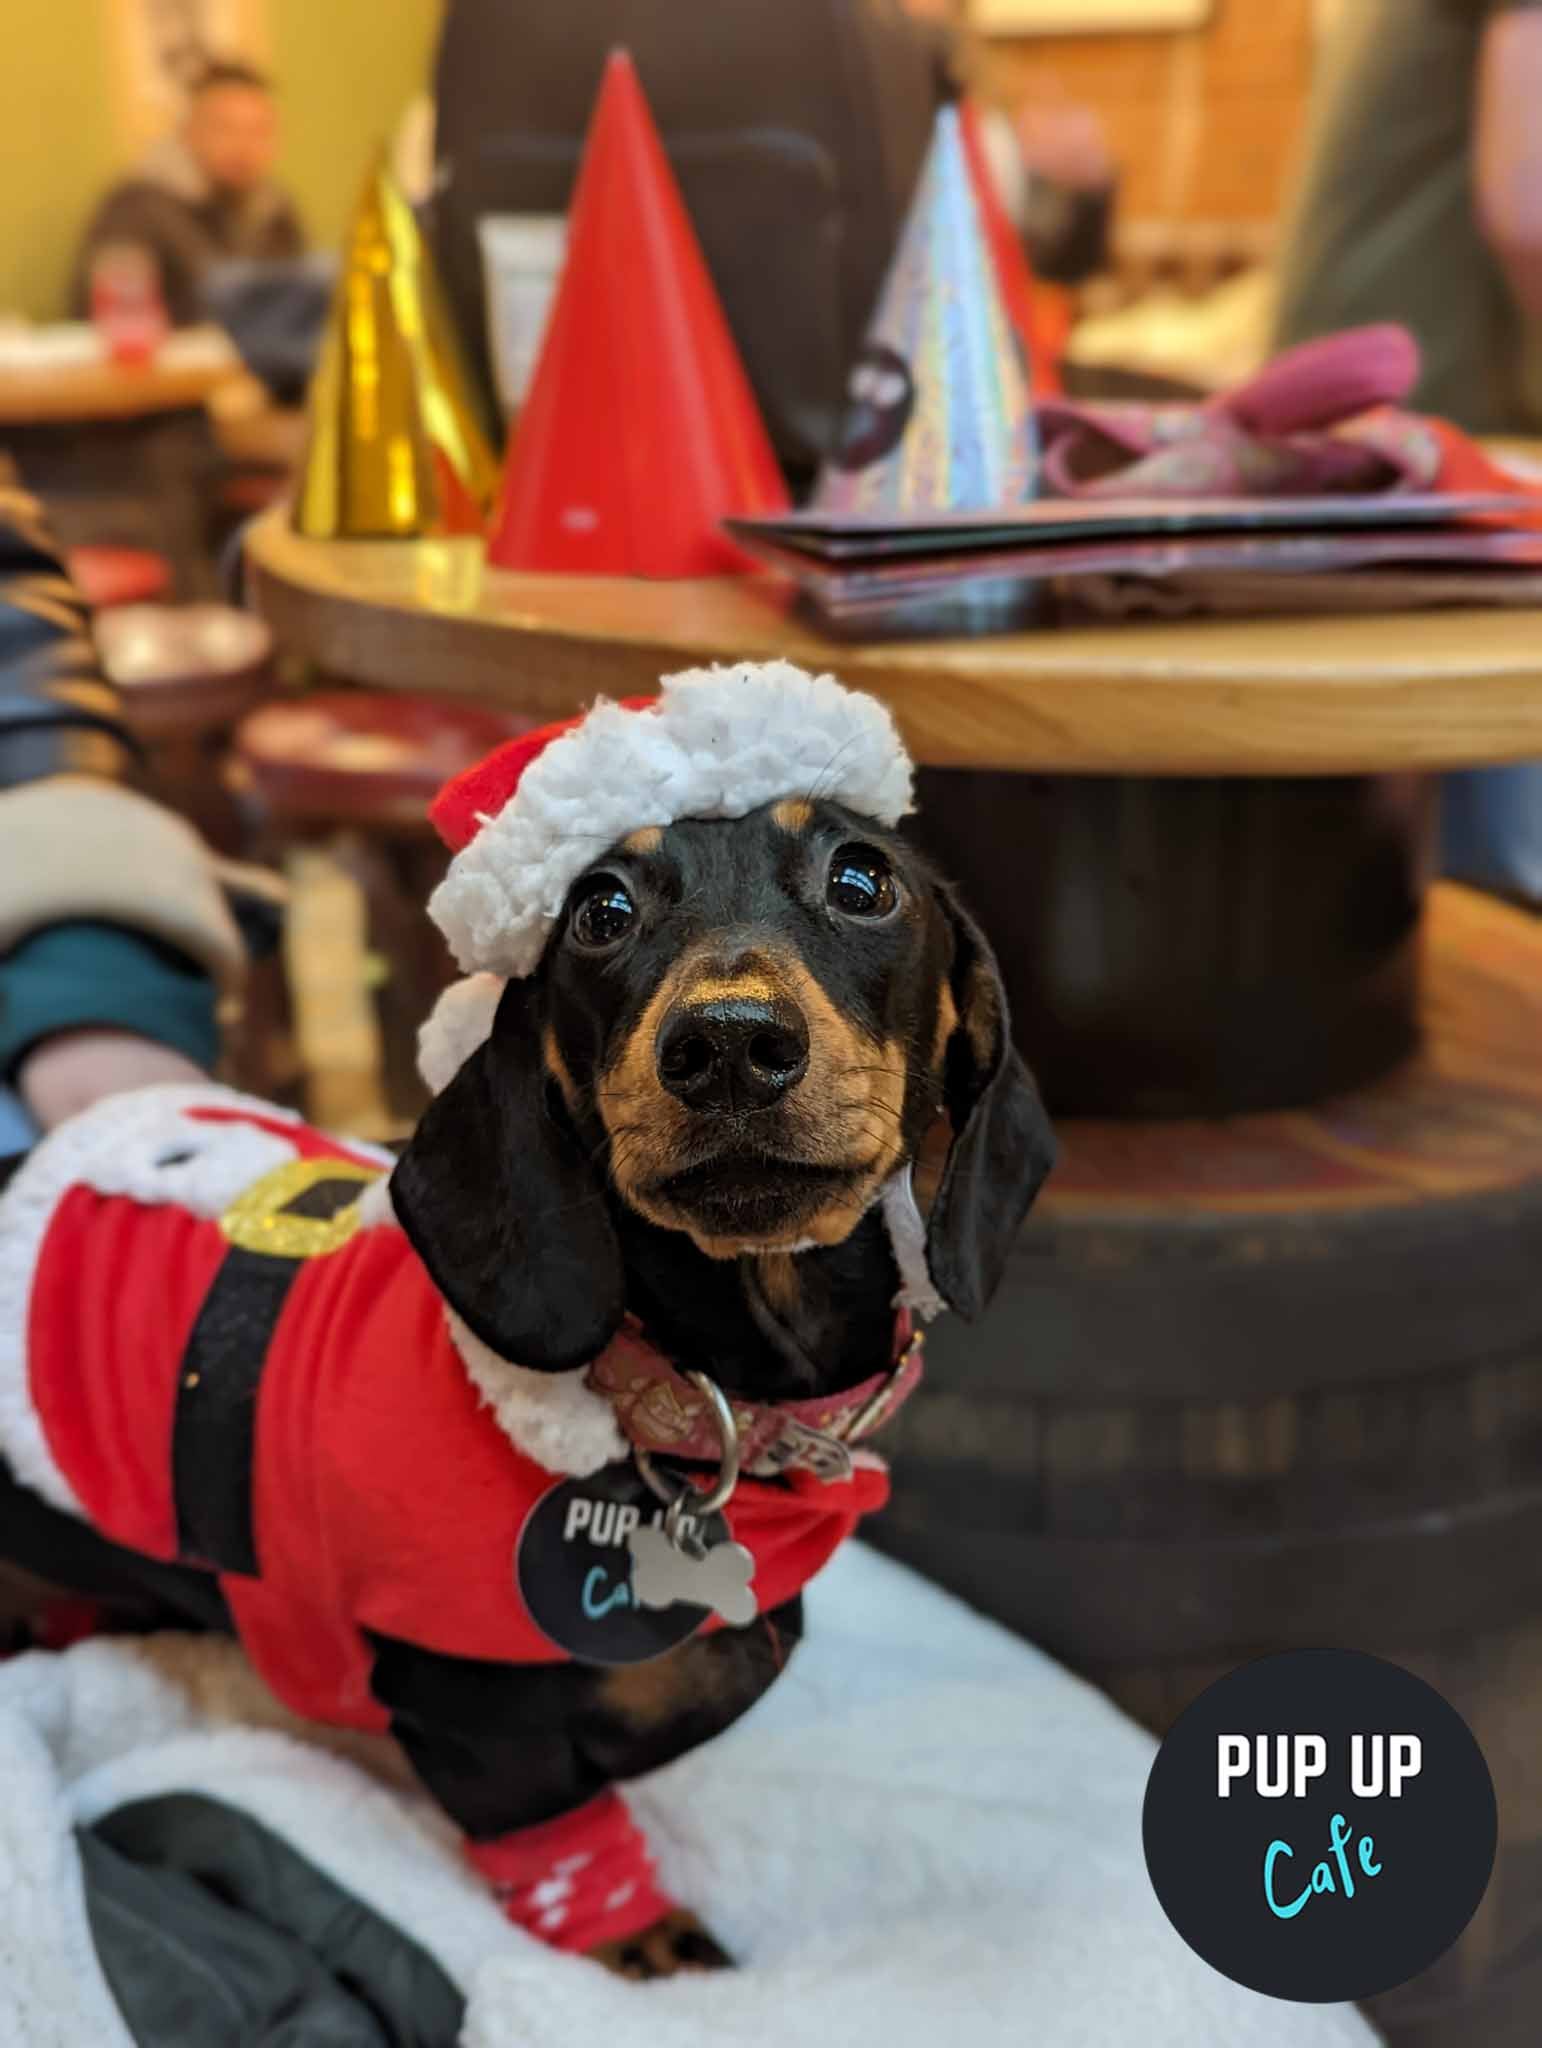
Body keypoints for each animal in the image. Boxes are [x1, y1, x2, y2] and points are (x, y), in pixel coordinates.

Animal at [0, 663, 1056, 1974]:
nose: (729, 1042)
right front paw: (647, 1939)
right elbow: (565, 1848)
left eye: (865, 882)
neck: (673, 1399)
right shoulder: (482, 1738)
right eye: (600, 907)